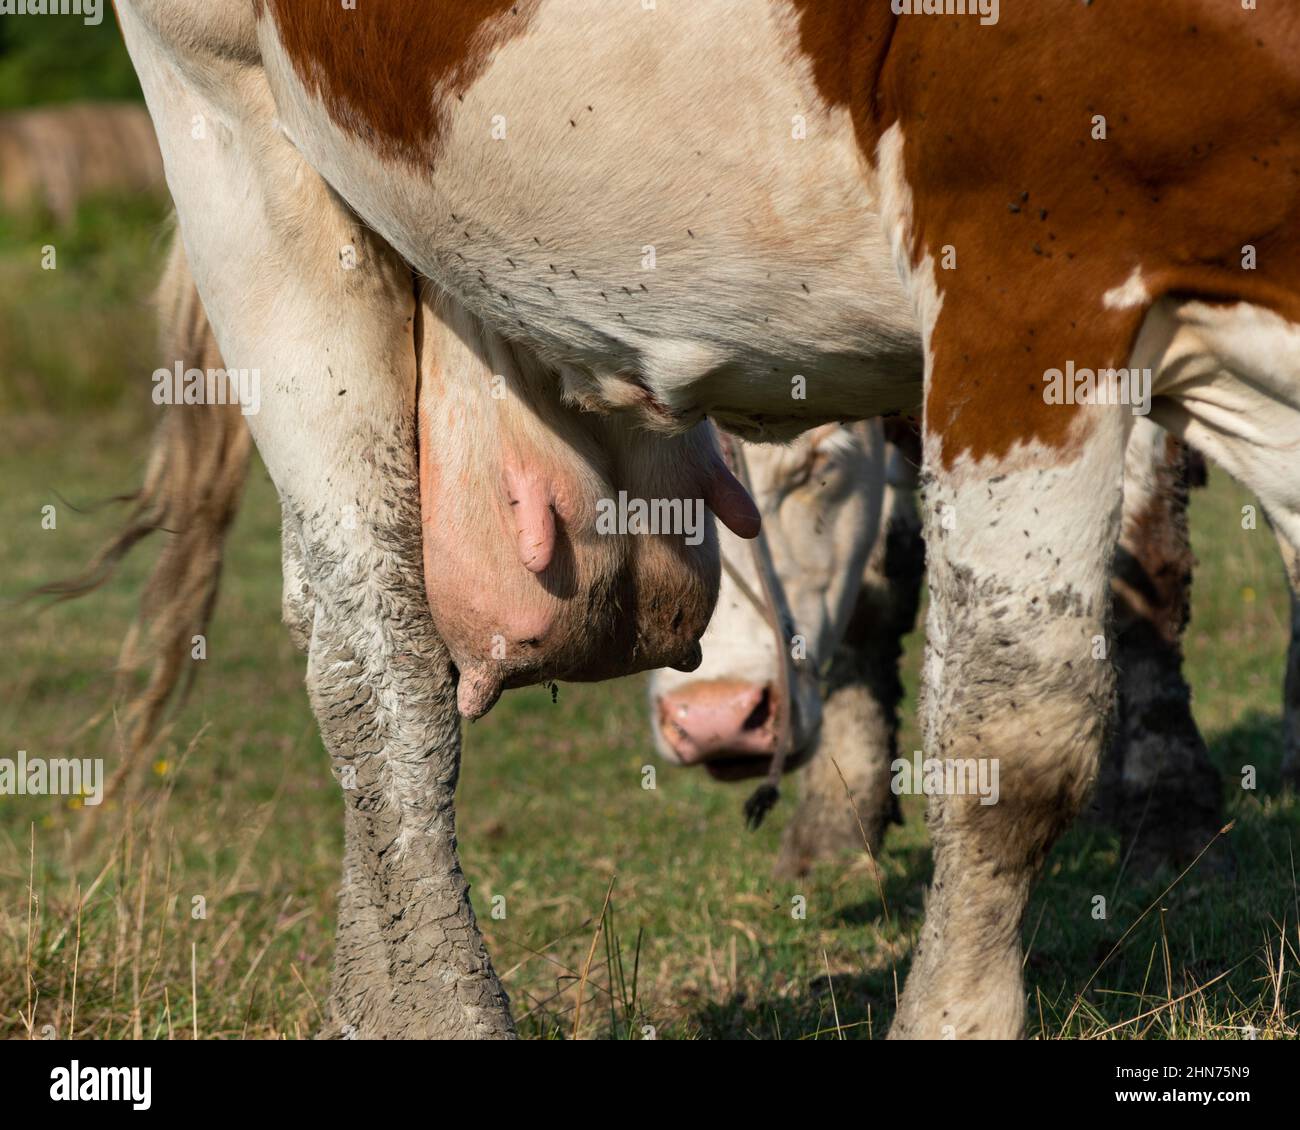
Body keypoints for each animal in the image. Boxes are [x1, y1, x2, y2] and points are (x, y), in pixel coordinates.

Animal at [111, 2, 1300, 1040]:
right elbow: (1016, 739)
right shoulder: (1027, 258)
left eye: (818, 474)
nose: (720, 722)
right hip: (235, 142)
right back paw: (435, 1007)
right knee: (375, 667)